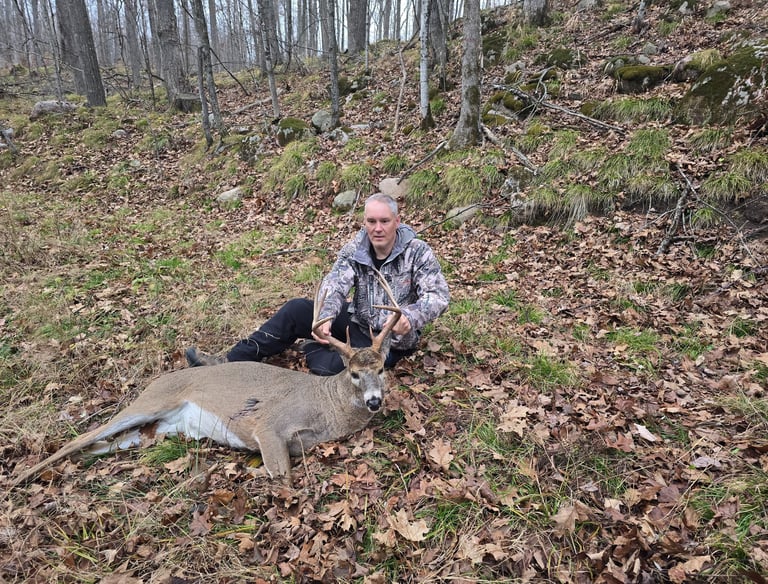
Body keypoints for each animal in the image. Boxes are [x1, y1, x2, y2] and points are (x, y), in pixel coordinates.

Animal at [11, 272, 402, 488]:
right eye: (354, 373)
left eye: (382, 368)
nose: (374, 401)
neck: (326, 408)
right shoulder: (269, 426)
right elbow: (285, 480)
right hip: (152, 400)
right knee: (80, 438)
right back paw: (18, 480)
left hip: (156, 431)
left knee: (99, 445)